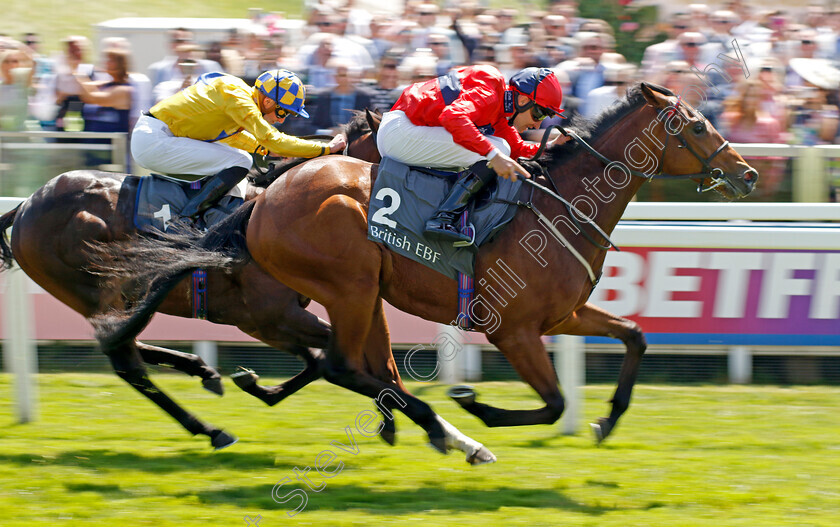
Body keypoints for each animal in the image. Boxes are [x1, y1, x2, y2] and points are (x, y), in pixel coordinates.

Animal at [0, 116, 378, 450]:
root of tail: (26, 204)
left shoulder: (264, 323)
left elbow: (317, 360)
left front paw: (256, 385)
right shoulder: (270, 315)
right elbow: (327, 356)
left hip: (121, 300)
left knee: (124, 342)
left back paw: (202, 371)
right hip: (98, 291)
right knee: (127, 364)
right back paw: (211, 430)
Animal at [97, 83, 760, 454]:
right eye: (697, 125)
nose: (749, 173)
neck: (561, 205)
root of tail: (264, 198)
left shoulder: (563, 316)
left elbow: (636, 337)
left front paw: (606, 421)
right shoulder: (513, 330)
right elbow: (552, 403)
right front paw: (474, 403)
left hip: (363, 295)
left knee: (358, 366)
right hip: (348, 287)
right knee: (342, 364)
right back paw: (448, 432)